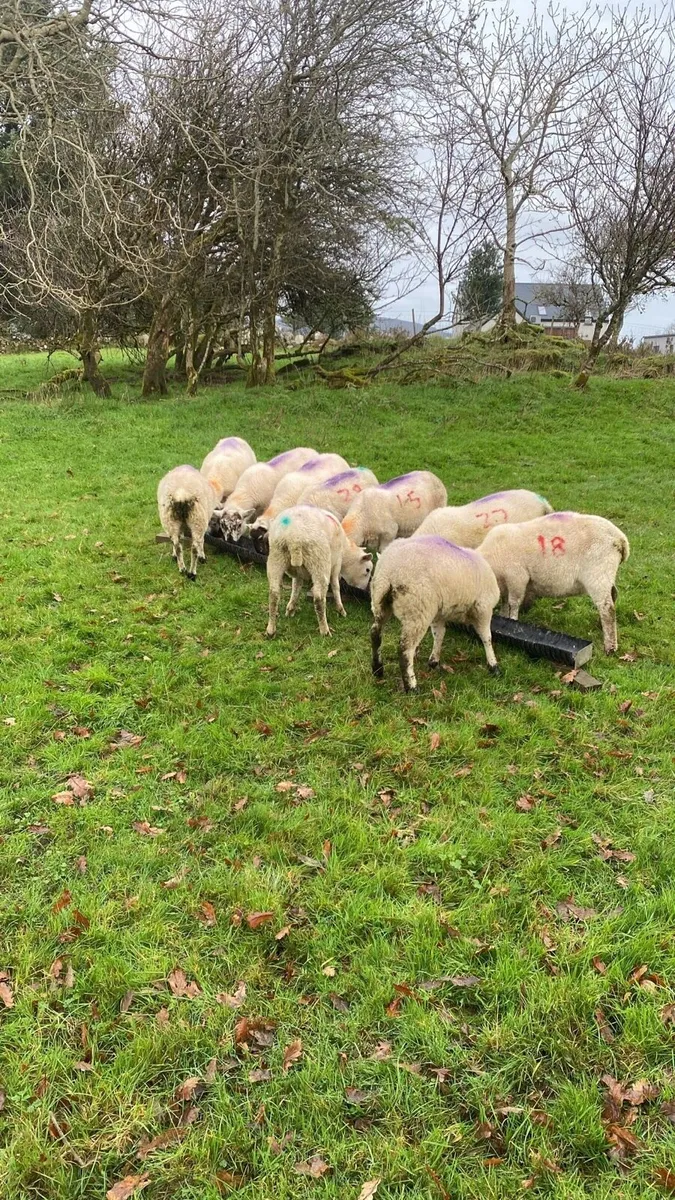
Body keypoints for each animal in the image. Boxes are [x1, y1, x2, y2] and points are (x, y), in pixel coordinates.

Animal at [266, 506, 373, 637]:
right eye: (367, 570)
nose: (363, 589)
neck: (345, 550)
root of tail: (294, 539)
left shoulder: (298, 573)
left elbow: (296, 586)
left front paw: (291, 608)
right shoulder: (336, 564)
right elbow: (336, 586)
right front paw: (341, 609)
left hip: (276, 557)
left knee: (274, 594)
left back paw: (271, 630)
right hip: (319, 561)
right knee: (318, 597)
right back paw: (324, 629)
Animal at [370, 535, 501, 691]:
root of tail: (390, 571)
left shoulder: (439, 614)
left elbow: (439, 634)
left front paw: (434, 661)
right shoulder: (483, 609)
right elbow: (487, 637)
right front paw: (493, 666)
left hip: (380, 602)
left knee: (375, 633)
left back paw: (377, 669)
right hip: (418, 609)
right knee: (405, 649)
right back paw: (412, 686)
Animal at [478, 512, 630, 653]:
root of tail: (620, 539)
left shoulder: (517, 577)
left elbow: (513, 603)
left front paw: (513, 621)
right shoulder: (504, 584)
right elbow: (504, 601)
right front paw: (503, 616)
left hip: (598, 574)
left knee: (607, 608)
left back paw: (610, 646)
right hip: (606, 574)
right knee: (613, 596)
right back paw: (600, 626)